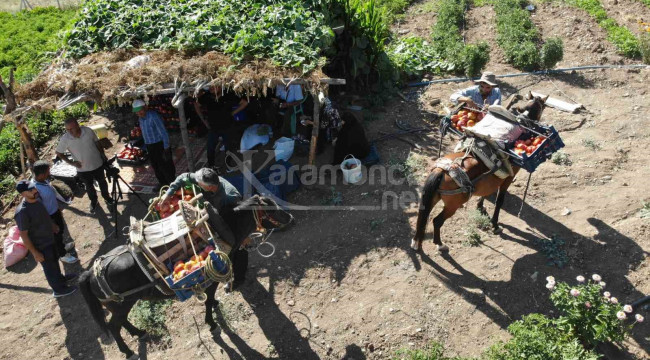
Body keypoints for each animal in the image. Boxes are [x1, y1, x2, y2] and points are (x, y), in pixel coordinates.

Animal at [78, 195, 294, 358]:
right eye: (272, 209)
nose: (291, 217)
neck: (222, 228)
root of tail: (90, 272)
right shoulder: (211, 280)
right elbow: (208, 301)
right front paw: (212, 324)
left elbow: (211, 300)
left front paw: (215, 308)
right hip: (123, 305)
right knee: (114, 327)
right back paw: (128, 351)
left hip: (119, 305)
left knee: (120, 322)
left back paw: (139, 333)